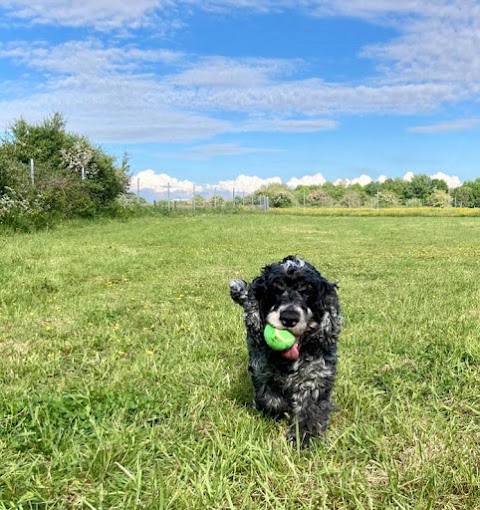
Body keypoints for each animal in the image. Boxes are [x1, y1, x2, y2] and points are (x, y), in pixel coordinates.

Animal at [230, 255, 340, 446]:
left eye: (307, 291)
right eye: (276, 289)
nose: (289, 317)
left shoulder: (316, 376)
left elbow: (310, 408)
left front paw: (303, 436)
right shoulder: (261, 369)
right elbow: (270, 399)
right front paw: (281, 409)